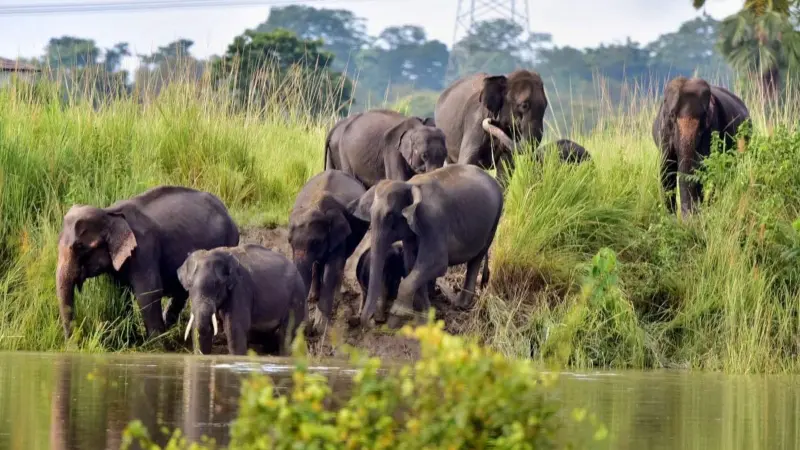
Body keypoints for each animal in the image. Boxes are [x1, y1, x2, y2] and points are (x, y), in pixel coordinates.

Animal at [55, 185, 239, 341]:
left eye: (80, 247)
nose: (75, 342)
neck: (109, 213)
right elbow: (118, 293)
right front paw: (131, 338)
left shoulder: (144, 249)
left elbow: (148, 293)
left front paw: (155, 345)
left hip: (229, 241)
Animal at [177, 244, 307, 355]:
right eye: (189, 284)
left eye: (217, 284)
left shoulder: (240, 287)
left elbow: (234, 327)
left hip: (296, 297)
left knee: (287, 332)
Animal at [288, 169, 370, 334]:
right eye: (289, 241)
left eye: (316, 242)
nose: (307, 329)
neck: (315, 205)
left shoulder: (340, 234)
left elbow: (332, 268)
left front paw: (320, 326)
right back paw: (313, 296)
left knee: (342, 261)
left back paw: (336, 297)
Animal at [348, 164, 504, 327]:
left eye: (389, 215)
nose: (374, 321)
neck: (409, 185)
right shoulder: (412, 231)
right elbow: (411, 264)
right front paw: (426, 316)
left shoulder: (433, 221)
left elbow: (436, 263)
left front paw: (399, 313)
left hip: (495, 220)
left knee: (477, 258)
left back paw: (461, 304)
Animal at [652, 76, 751, 216]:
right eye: (672, 116)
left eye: (703, 118)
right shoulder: (664, 133)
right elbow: (667, 168)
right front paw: (669, 217)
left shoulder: (712, 129)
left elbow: (701, 167)